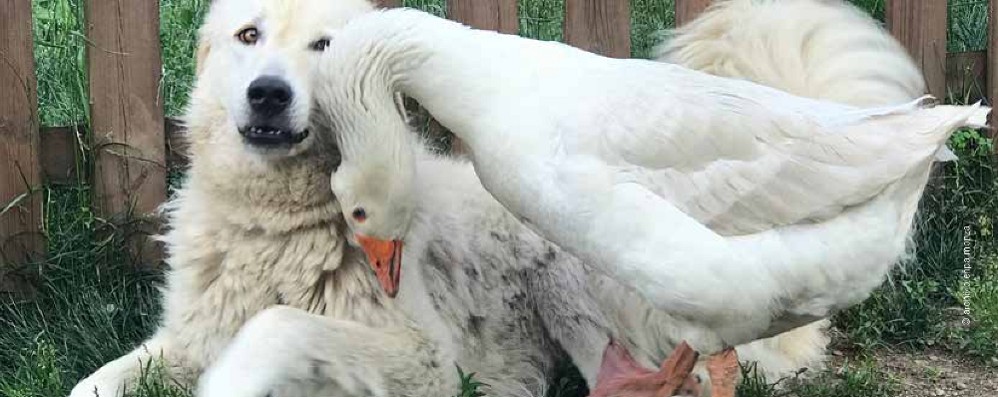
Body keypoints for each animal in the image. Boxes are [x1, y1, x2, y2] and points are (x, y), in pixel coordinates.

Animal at [72, 0, 920, 394]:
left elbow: (279, 329)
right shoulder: (181, 337)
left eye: (322, 43)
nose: (269, 95)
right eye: (248, 35)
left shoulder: (425, 359)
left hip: (614, 278)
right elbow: (95, 380)